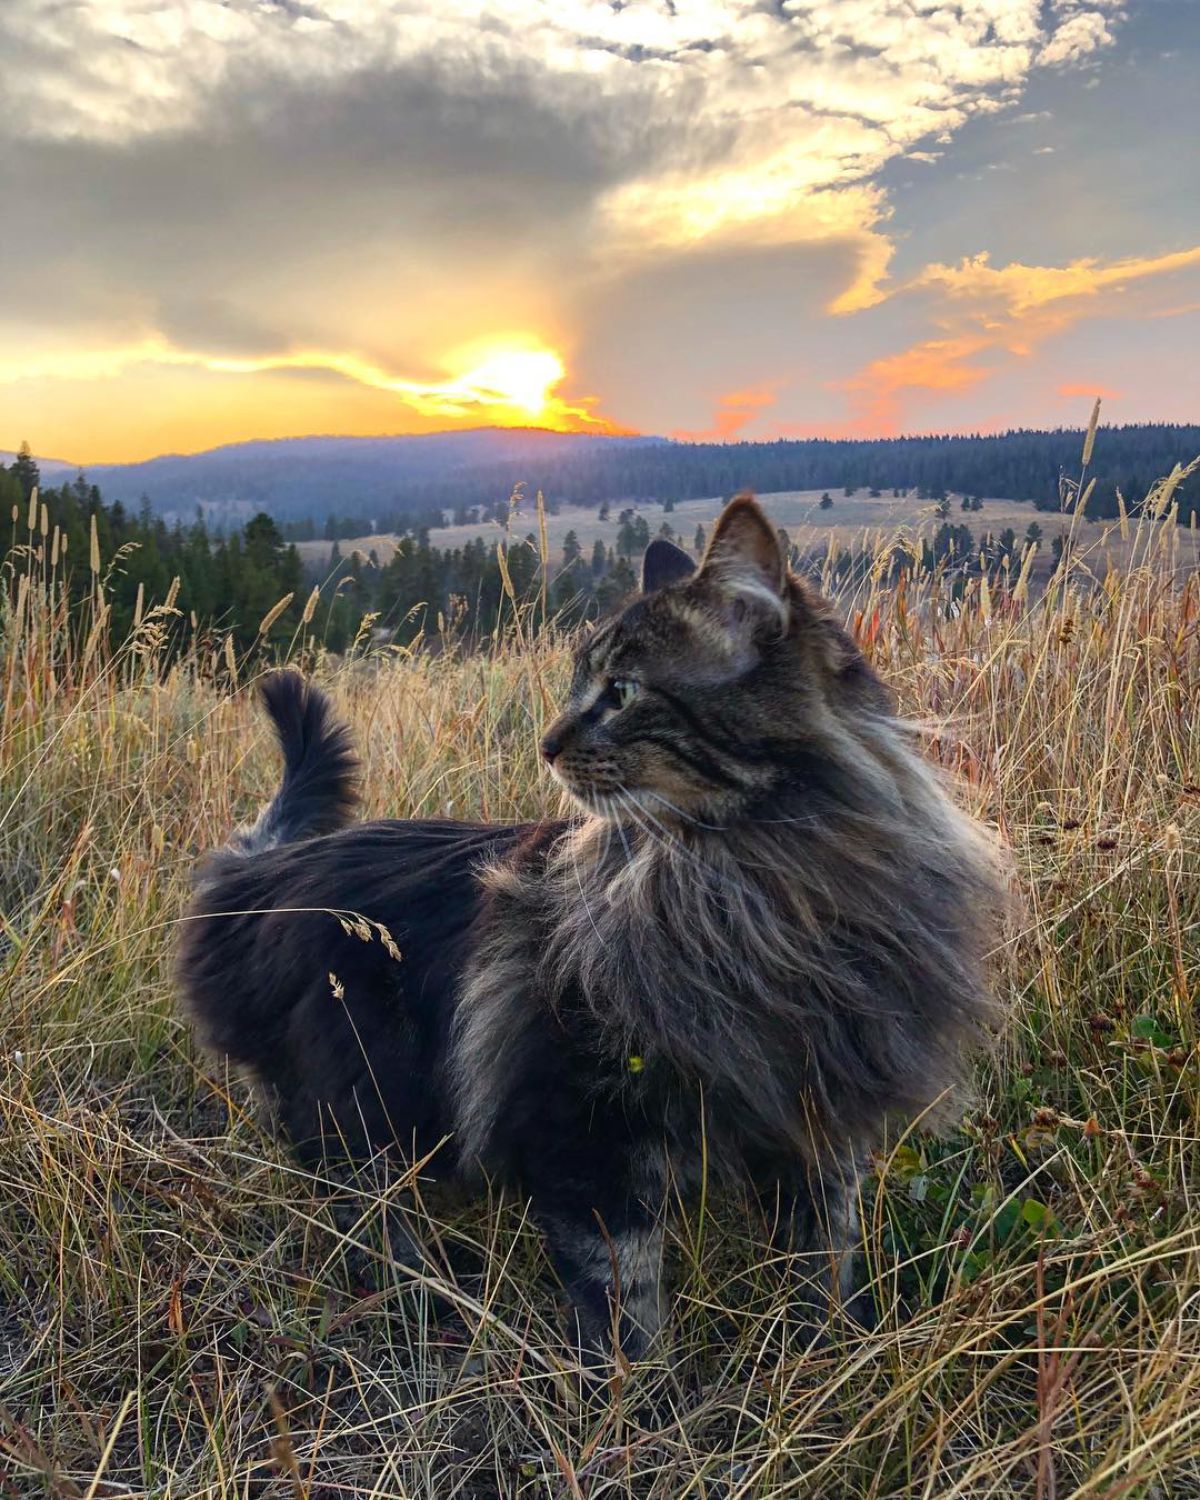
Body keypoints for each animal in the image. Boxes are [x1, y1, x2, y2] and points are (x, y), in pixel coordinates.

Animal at [178, 498, 1008, 1368]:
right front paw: (649, 1402)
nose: (545, 744)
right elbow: (627, 1310)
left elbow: (825, 1265)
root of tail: (266, 867)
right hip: (355, 1101)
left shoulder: (818, 1121)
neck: (753, 887)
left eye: (622, 692)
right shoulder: (589, 1141)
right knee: (363, 1213)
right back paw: (427, 1301)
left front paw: (824, 1361)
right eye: (581, 688)